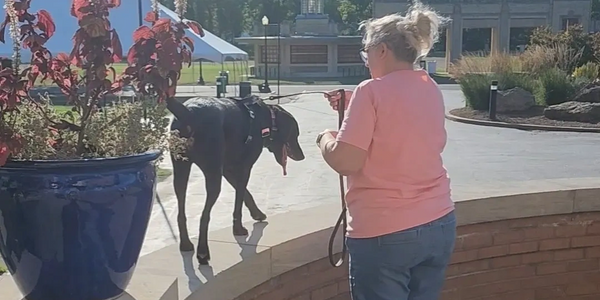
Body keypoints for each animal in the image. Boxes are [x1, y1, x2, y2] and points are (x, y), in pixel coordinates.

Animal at [168, 94, 302, 264]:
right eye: (295, 133)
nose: (302, 156)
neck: (265, 119)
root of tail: (188, 113)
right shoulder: (244, 168)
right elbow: (239, 199)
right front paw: (238, 229)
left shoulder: (227, 169)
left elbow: (245, 193)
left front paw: (257, 213)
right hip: (212, 173)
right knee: (204, 216)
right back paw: (203, 252)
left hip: (180, 171)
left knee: (181, 211)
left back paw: (185, 243)